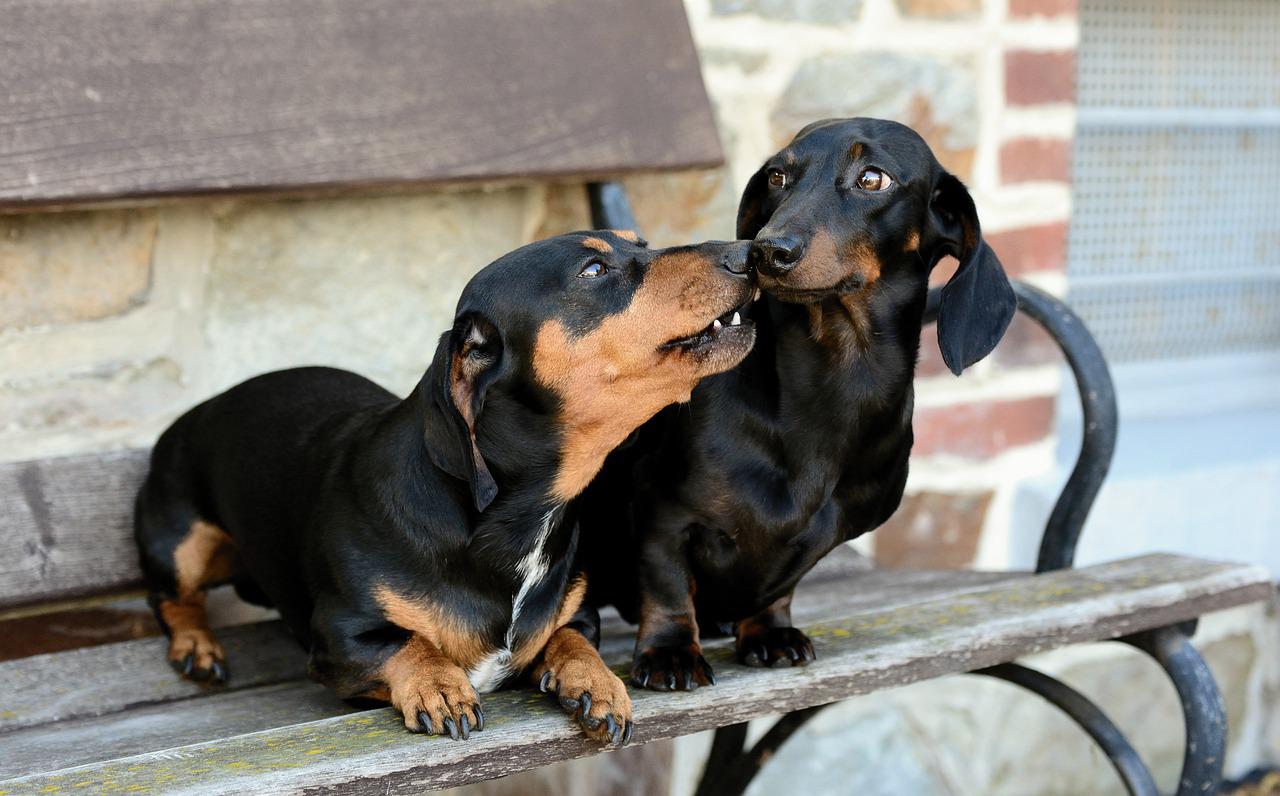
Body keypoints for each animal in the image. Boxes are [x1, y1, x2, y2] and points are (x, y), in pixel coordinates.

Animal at [135, 230, 752, 742]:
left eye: (640, 241)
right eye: (594, 270)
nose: (748, 253)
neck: (515, 520)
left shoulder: (581, 616)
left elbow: (571, 638)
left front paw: (598, 683)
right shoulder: (341, 637)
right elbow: (408, 643)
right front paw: (439, 684)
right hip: (180, 541)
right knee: (173, 598)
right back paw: (196, 646)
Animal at [576, 118, 1013, 691]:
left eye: (872, 178)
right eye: (778, 176)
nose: (764, 252)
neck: (834, 381)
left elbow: (780, 588)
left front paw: (769, 632)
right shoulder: (661, 511)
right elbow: (666, 584)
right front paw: (670, 652)